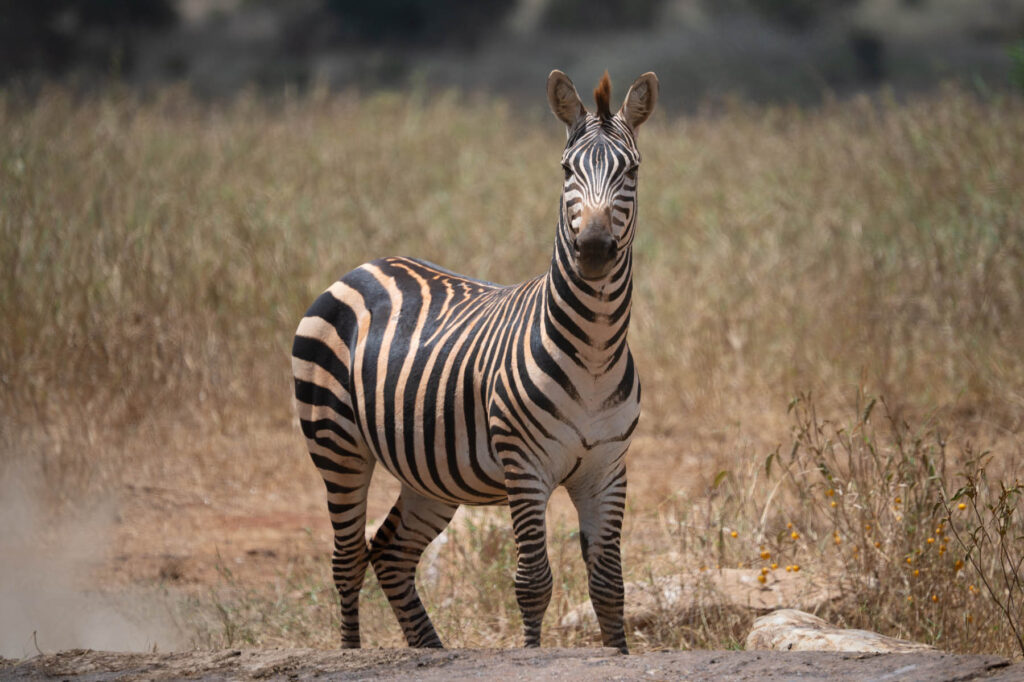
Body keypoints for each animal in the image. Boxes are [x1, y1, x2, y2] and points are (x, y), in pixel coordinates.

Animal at [292, 69, 658, 654]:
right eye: (565, 169)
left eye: (633, 170)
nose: (595, 248)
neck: (596, 354)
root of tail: (366, 265)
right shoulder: (524, 467)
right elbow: (533, 582)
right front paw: (531, 653)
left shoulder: (607, 468)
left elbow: (609, 585)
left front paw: (616, 653)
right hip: (336, 444)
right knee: (347, 559)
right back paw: (351, 651)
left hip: (429, 472)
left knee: (390, 553)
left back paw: (431, 651)